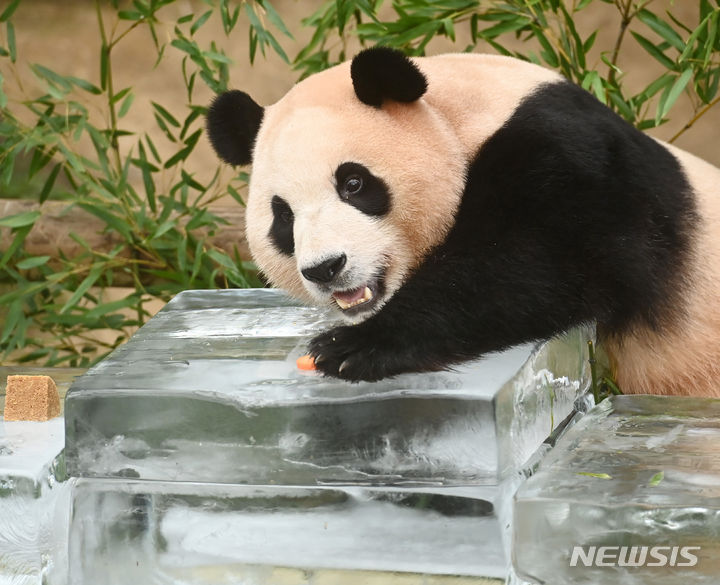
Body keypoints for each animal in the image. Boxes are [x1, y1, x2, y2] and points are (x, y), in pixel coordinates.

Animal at [205, 46, 720, 396]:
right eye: (282, 216)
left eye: (353, 183)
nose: (326, 268)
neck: (460, 115)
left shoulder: (575, 159)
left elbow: (535, 265)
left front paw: (349, 347)